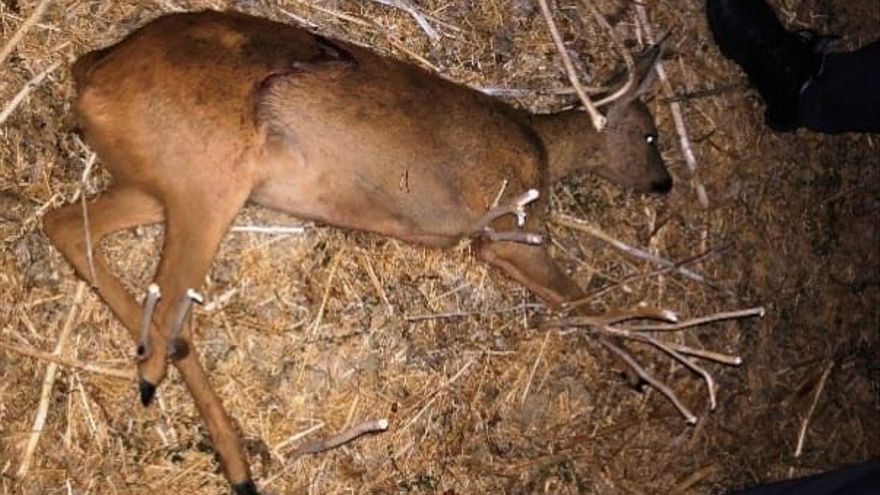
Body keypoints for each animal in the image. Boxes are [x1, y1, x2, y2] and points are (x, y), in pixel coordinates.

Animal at [41, 9, 672, 494]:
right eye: (651, 134)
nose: (665, 183)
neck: (542, 146)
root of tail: (92, 70)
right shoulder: (508, 229)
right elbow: (580, 297)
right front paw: (643, 372)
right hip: (208, 175)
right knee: (169, 313)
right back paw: (222, 447)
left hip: (161, 186)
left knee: (68, 227)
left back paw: (230, 451)